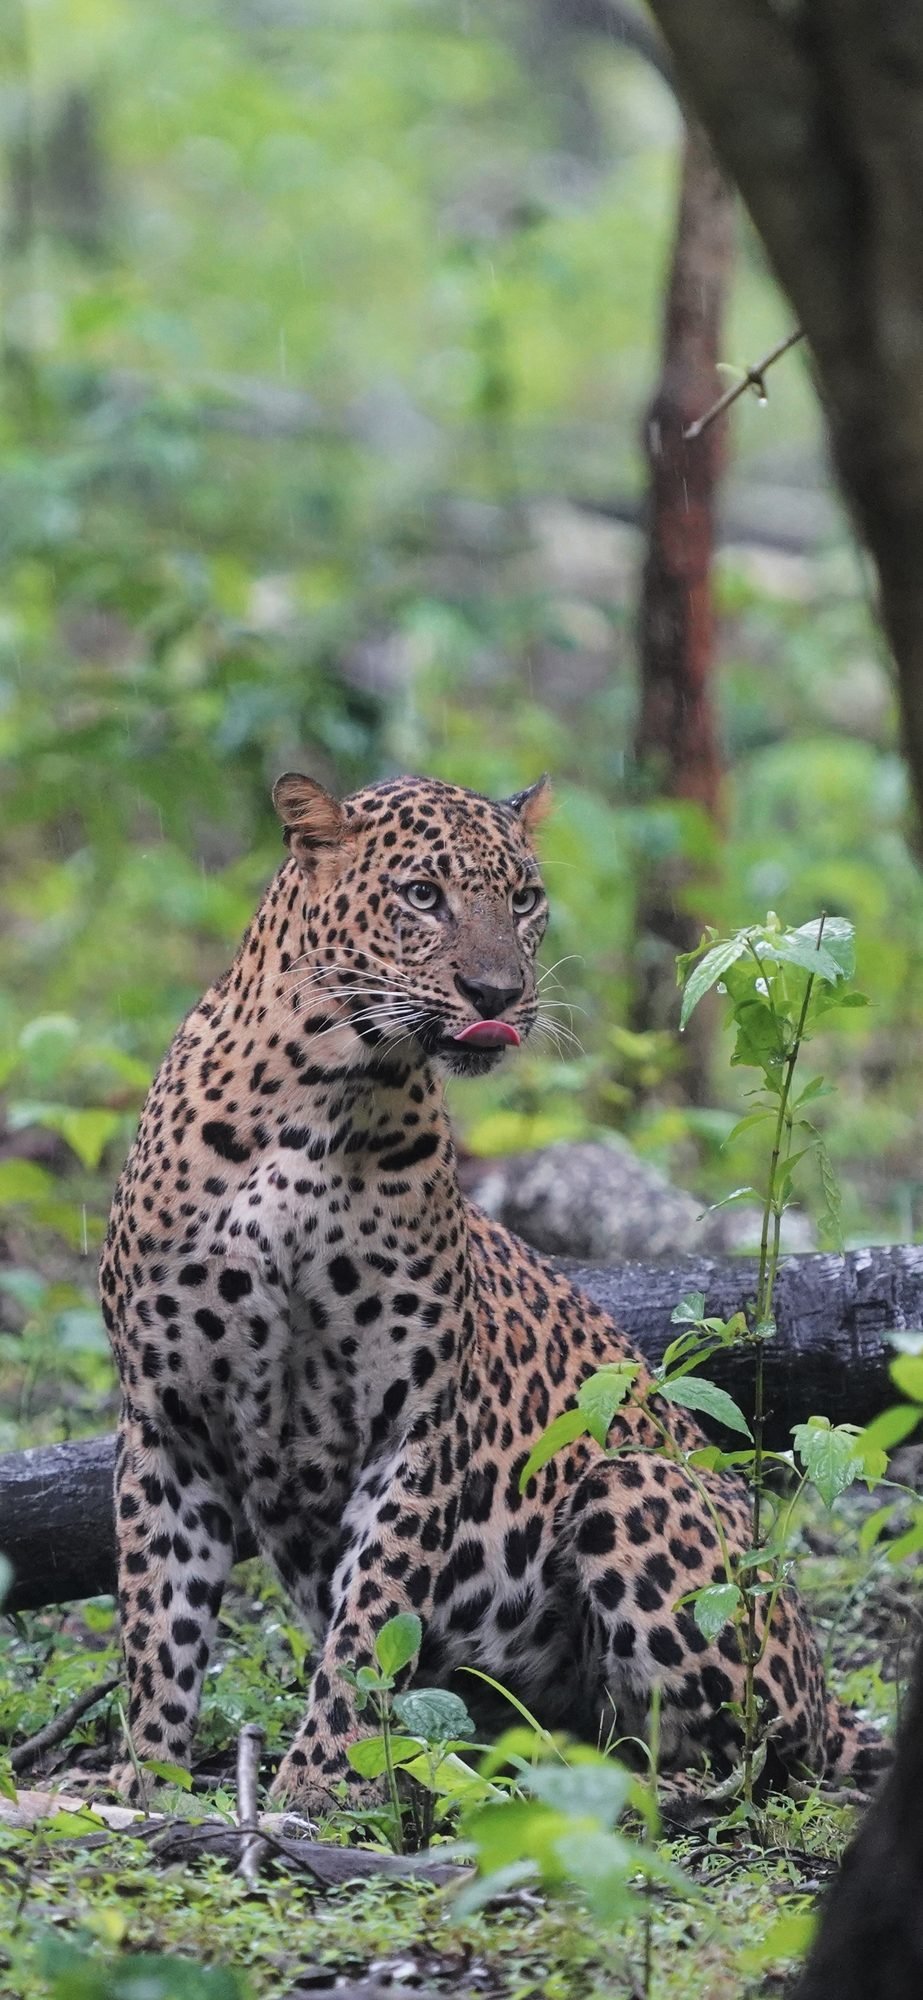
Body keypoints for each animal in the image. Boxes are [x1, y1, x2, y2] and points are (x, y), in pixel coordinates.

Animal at [100, 770, 884, 1810]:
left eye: (522, 899)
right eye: (421, 895)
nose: (497, 994)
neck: (319, 1095)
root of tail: (829, 1688)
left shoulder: (416, 1418)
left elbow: (370, 1620)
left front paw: (320, 1784)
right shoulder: (169, 1416)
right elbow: (159, 1624)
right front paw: (142, 1784)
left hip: (637, 1487)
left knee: (749, 1751)